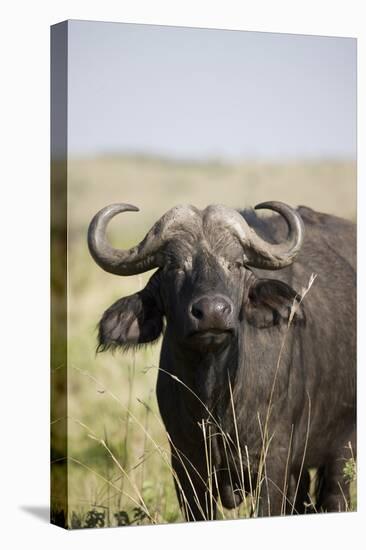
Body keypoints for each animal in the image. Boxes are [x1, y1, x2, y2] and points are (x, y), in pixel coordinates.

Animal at [87, 201, 356, 520]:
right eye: (174, 266)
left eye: (235, 264)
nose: (212, 312)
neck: (216, 396)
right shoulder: (186, 466)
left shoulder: (274, 459)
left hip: (342, 449)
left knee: (334, 496)